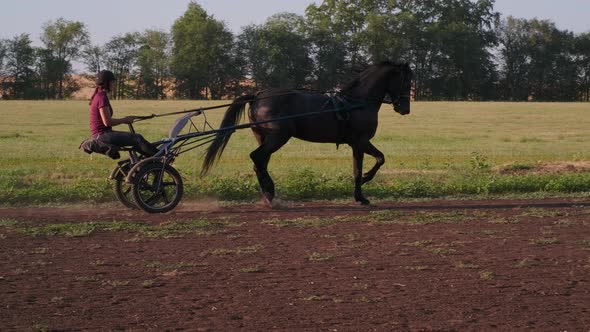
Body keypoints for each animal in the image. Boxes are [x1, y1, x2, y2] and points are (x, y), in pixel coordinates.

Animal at [201, 60, 414, 204]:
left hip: (264, 137)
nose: (405, 109)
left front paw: (360, 194)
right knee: (257, 157)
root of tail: (258, 95)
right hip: (278, 136)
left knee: (259, 163)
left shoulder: (356, 144)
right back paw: (270, 192)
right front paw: (364, 186)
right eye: (406, 82)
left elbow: (366, 165)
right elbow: (373, 162)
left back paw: (268, 193)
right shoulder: (361, 141)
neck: (355, 102)